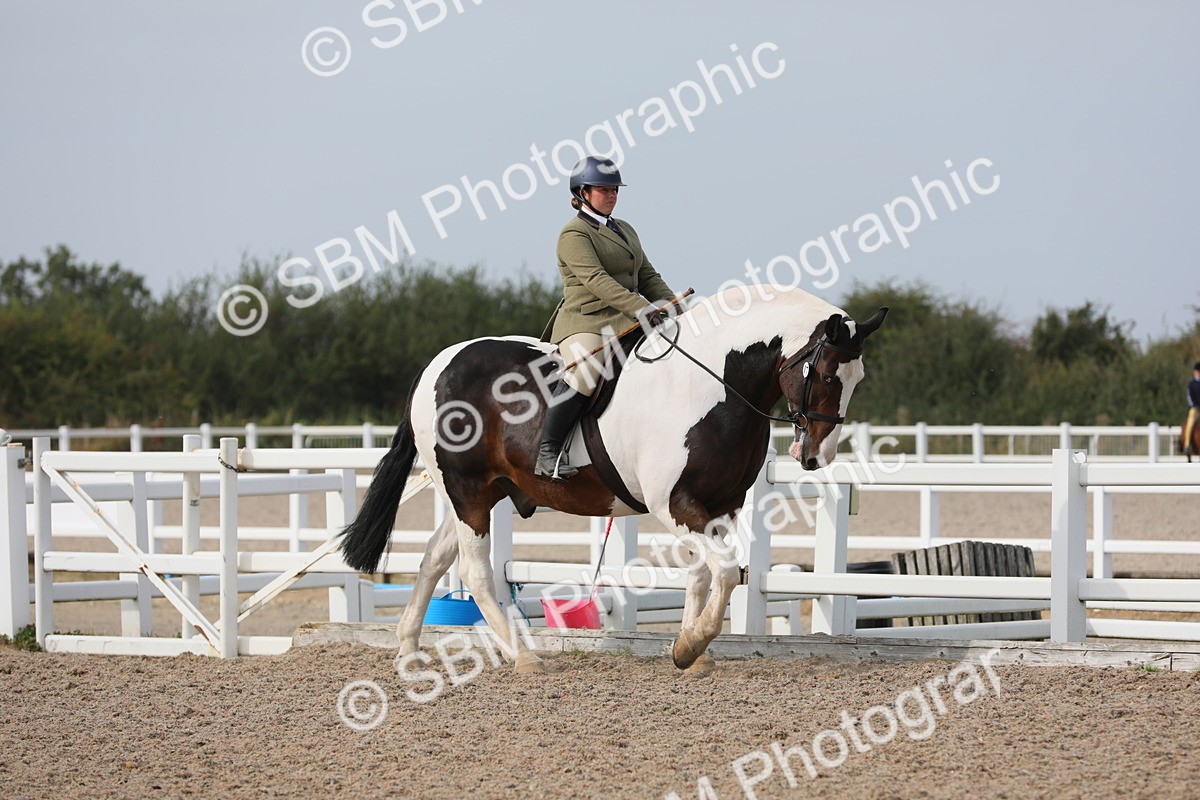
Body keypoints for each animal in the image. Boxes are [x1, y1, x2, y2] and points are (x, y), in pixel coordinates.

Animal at [340, 285, 888, 674]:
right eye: (828, 375)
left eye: (859, 379)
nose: (816, 456)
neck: (715, 387)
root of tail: (439, 363)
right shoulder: (675, 505)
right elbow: (729, 571)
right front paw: (691, 645)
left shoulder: (720, 506)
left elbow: (703, 574)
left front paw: (691, 652)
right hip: (468, 491)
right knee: (474, 573)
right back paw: (523, 657)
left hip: (479, 494)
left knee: (434, 558)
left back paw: (408, 649)